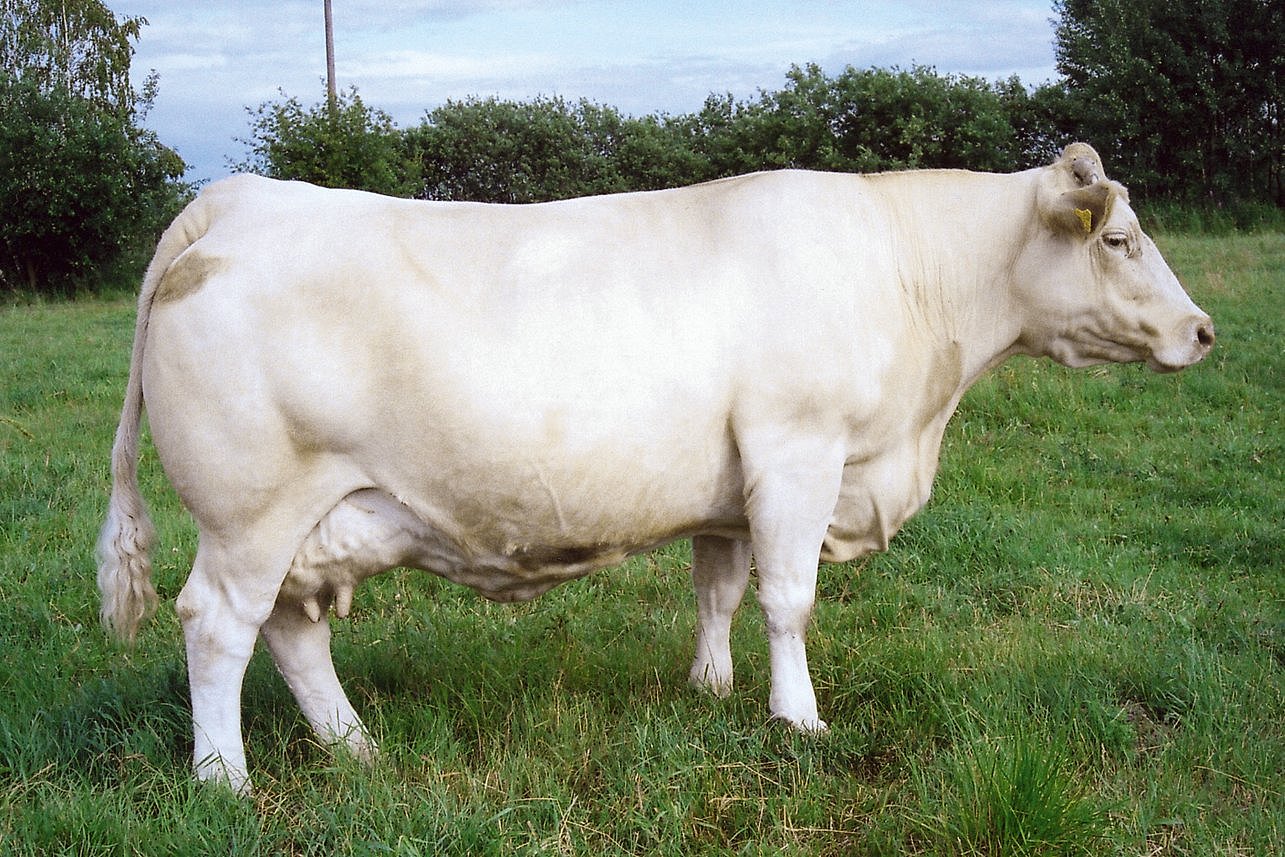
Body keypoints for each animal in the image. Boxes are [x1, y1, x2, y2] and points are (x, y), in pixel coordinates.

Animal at [95, 142, 1207, 791]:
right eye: (1119, 237)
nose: (1201, 331)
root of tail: (239, 199)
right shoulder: (799, 450)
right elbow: (789, 596)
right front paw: (798, 718)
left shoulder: (730, 486)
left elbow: (719, 587)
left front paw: (711, 689)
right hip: (248, 512)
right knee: (217, 627)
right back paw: (223, 778)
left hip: (308, 519)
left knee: (290, 629)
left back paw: (353, 745)